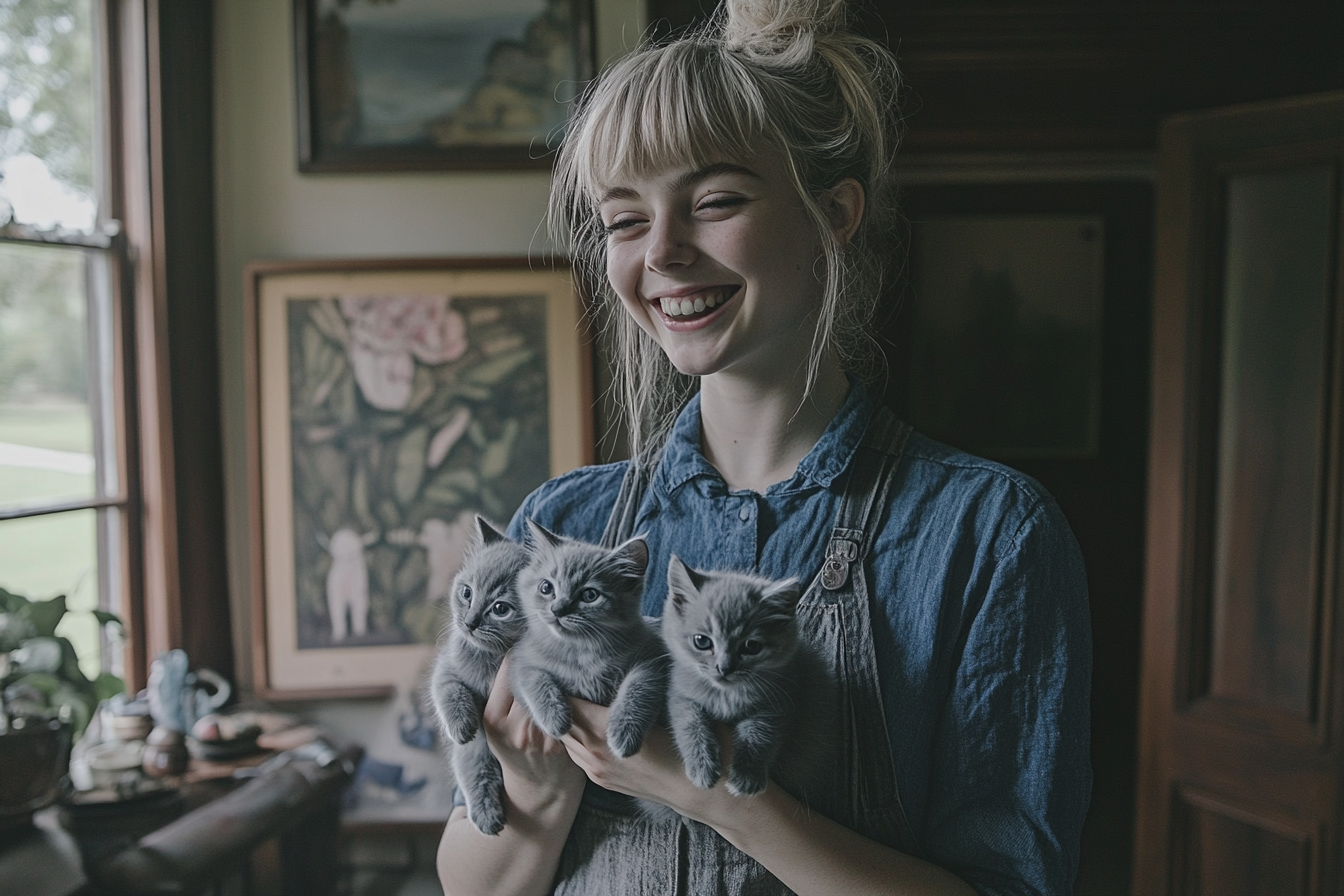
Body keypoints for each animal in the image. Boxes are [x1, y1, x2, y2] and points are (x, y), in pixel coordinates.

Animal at [432, 515, 532, 838]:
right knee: (476, 773)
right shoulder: (446, 668)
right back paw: (487, 815)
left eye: (500, 609)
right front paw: (461, 724)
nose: (470, 621)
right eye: (467, 593)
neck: (491, 659)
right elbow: (449, 690)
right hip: (475, 753)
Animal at [508, 521, 666, 763]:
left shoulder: (653, 657)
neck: (580, 653)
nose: (557, 609)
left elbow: (640, 685)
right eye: (546, 588)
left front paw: (624, 731)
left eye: (590, 595)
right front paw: (554, 717)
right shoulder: (521, 660)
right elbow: (533, 677)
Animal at [661, 556, 827, 800]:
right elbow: (688, 722)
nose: (724, 668)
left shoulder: (777, 703)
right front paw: (702, 765)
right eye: (702, 641)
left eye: (751, 646)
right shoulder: (680, 693)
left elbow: (760, 733)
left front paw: (748, 775)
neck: (725, 695)